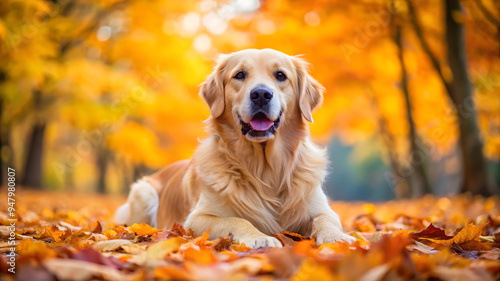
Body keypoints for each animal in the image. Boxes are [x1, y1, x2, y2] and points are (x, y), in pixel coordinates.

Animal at [114, 48, 354, 247]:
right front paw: (260, 238)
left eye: (280, 75)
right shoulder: (196, 219)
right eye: (239, 75)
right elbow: (237, 220)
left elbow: (326, 219)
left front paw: (337, 237)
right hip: (143, 192)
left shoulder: (321, 208)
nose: (261, 94)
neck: (266, 171)